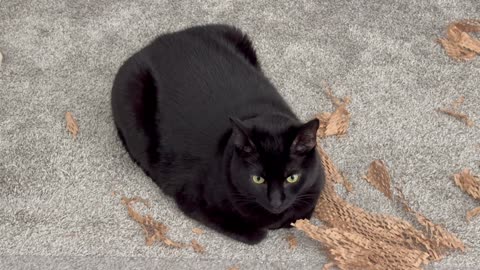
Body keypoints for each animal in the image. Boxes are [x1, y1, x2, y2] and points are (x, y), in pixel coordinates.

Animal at [110, 24, 324, 245]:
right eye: (258, 179)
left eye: (292, 178)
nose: (275, 201)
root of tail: (160, 40)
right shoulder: (192, 199)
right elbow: (255, 233)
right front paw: (262, 229)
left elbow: (300, 214)